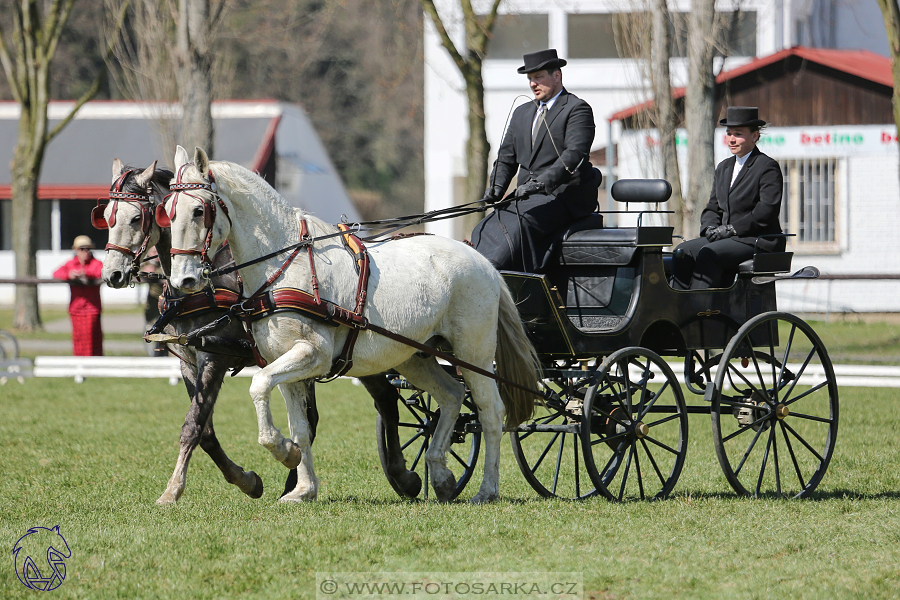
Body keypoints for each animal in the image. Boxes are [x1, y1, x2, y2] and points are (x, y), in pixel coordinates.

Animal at [163, 148, 540, 504]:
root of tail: (482, 261)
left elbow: (258, 386)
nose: (183, 280)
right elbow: (299, 426)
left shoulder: (313, 354)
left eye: (199, 211)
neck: (283, 264)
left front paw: (283, 453)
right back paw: (441, 475)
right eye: (167, 211)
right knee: (451, 395)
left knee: (490, 413)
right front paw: (302, 487)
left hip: (473, 355)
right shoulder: (282, 362)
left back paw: (487, 489)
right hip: (414, 356)